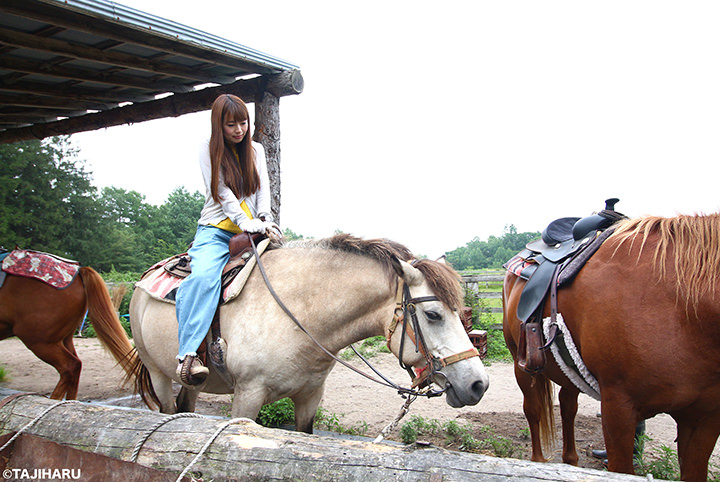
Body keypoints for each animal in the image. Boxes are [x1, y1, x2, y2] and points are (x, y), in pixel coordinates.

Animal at [0, 264, 137, 400]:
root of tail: (79, 271)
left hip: (38, 339)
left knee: (70, 366)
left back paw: (55, 400)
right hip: (64, 338)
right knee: (76, 366)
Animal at [129, 233, 490, 434]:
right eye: (433, 314)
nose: (479, 384)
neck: (298, 315)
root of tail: (144, 277)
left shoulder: (309, 397)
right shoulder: (247, 396)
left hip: (193, 384)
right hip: (157, 372)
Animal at [504, 214, 720, 482]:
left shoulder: (704, 419)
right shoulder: (619, 408)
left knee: (568, 407)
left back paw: (571, 460)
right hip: (520, 365)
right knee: (533, 410)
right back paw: (538, 460)